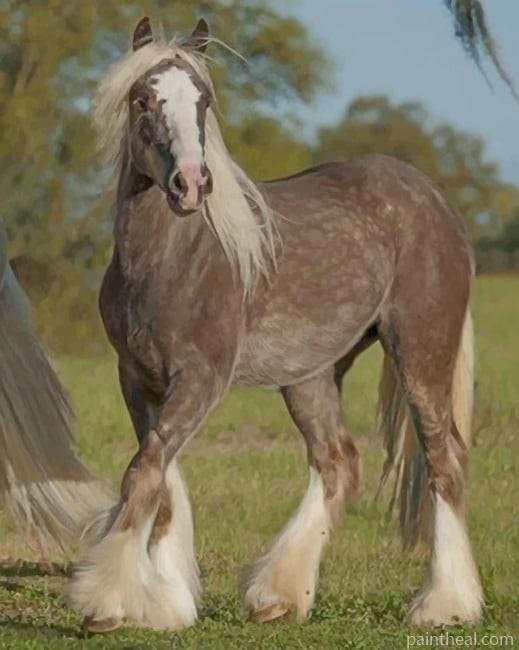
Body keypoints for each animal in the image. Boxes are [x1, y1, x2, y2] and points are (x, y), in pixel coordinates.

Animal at [69, 17, 484, 633]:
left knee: (443, 461)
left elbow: (145, 472)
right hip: (312, 375)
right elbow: (160, 480)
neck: (171, 264)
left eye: (203, 100)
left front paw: (107, 601)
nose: (191, 184)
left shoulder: (200, 381)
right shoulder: (136, 379)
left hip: (421, 353)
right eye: (143, 99)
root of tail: (435, 200)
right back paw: (279, 595)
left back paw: (445, 605)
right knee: (338, 463)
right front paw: (164, 603)